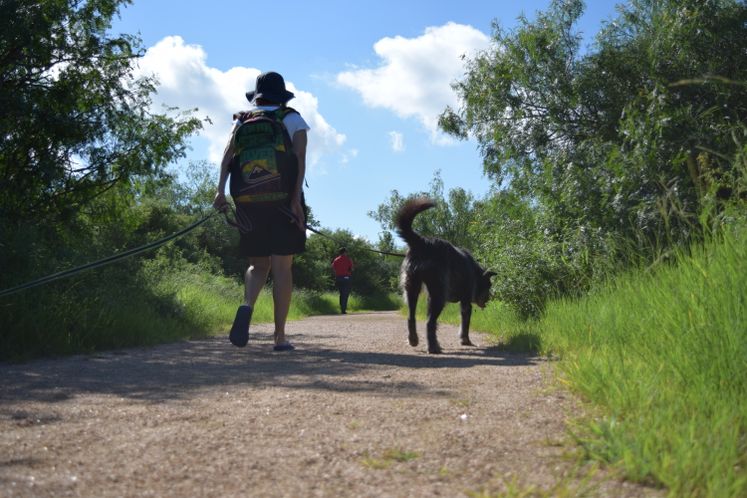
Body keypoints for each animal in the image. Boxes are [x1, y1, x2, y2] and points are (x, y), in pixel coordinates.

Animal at [398, 196, 496, 352]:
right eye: (489, 285)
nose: (489, 299)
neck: (475, 272)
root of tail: (422, 242)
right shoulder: (466, 301)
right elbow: (465, 323)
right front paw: (466, 341)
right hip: (438, 295)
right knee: (430, 322)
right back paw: (433, 347)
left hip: (411, 287)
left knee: (411, 317)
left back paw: (413, 340)